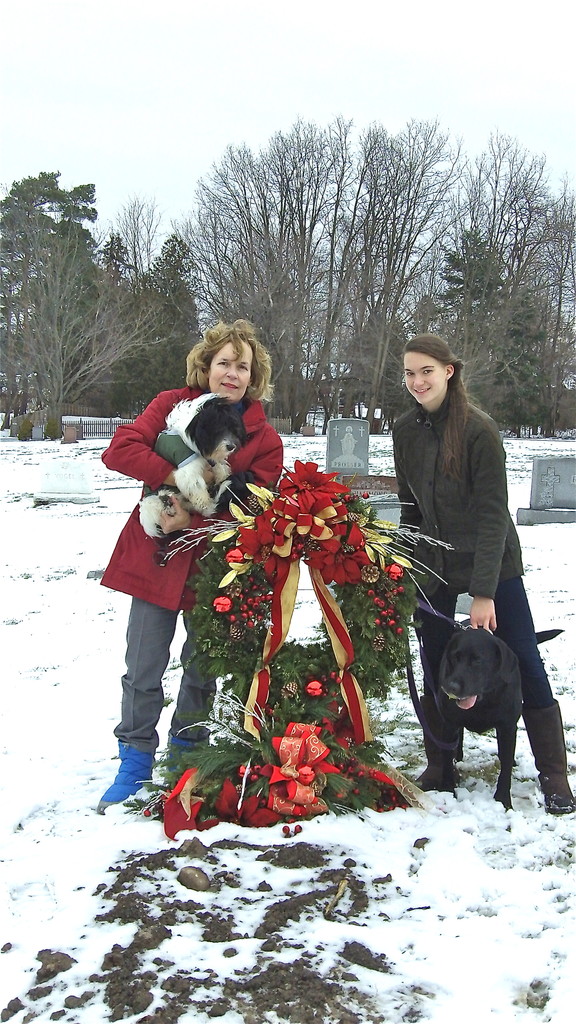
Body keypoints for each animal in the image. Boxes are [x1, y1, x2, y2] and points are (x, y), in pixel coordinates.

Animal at [140, 393, 247, 540]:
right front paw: (204, 500)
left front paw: (222, 474)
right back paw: (167, 498)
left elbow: (217, 464)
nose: (231, 446)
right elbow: (195, 484)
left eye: (234, 429)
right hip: (153, 503)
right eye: (218, 429)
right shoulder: (185, 464)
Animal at [434, 626, 520, 811]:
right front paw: (447, 791)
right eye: (455, 657)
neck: (483, 702)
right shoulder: (449, 724)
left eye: (477, 661)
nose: (451, 687)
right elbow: (446, 761)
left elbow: (506, 765)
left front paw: (503, 800)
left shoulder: (508, 727)